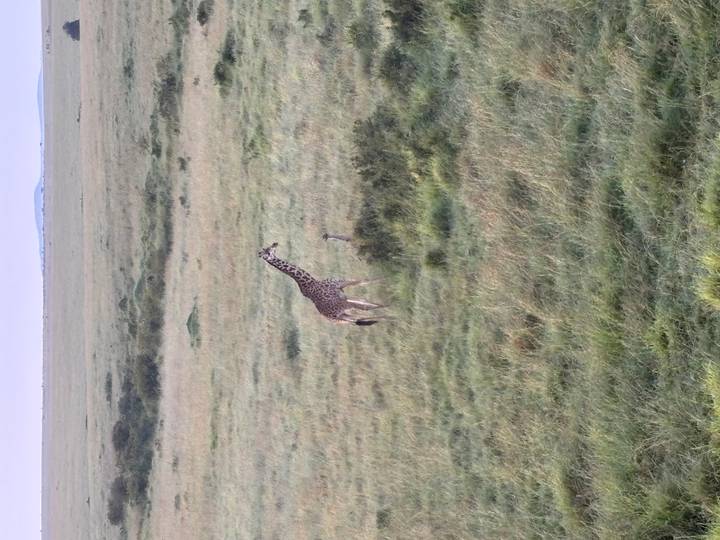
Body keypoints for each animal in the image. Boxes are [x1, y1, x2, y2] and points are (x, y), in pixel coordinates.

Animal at [258, 242, 391, 326]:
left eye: (270, 248)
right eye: (268, 252)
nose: (275, 243)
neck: (310, 281)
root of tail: (331, 318)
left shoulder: (341, 289)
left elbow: (364, 293)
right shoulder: (341, 292)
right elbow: (363, 286)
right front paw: (387, 279)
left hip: (344, 315)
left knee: (359, 315)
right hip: (343, 313)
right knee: (360, 316)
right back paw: (389, 317)